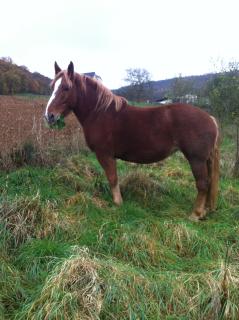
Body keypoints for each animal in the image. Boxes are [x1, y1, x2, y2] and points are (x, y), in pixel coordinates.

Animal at [44, 62, 218, 222]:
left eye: (66, 87)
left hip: (196, 159)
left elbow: (113, 178)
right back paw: (205, 211)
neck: (99, 113)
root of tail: (210, 118)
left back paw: (195, 214)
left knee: (203, 184)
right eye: (52, 86)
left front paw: (117, 203)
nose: (49, 116)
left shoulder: (105, 154)